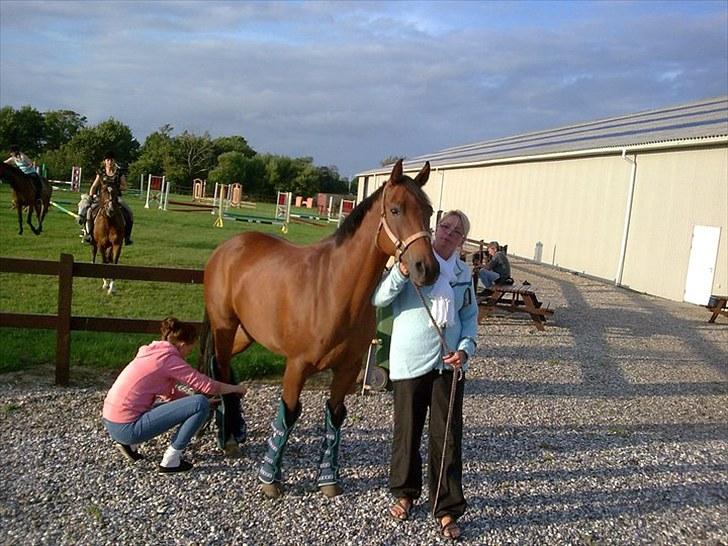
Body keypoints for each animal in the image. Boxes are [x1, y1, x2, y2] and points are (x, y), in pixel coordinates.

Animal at [203, 159, 439, 498]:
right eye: (395, 209)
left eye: (429, 211)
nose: (427, 269)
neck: (333, 289)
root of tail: (228, 247)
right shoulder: (296, 366)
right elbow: (289, 413)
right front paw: (270, 479)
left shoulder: (347, 369)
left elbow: (335, 415)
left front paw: (328, 478)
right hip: (225, 325)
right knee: (220, 367)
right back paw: (228, 436)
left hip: (246, 333)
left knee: (224, 368)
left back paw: (230, 427)